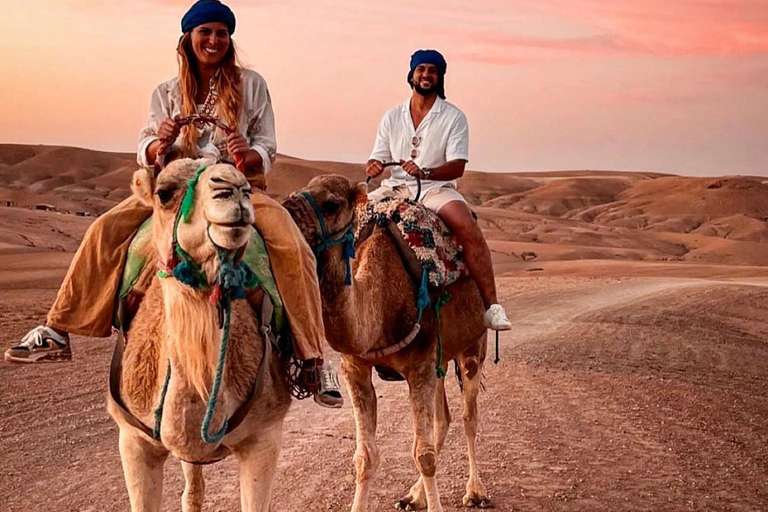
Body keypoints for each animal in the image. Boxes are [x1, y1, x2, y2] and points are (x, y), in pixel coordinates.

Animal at [106, 158, 290, 510]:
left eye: (247, 186)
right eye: (164, 193)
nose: (235, 188)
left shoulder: (265, 437)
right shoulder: (133, 441)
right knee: (192, 491)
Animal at [284, 176, 492, 512]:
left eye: (331, 204)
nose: (285, 214)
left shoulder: (419, 365)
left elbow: (424, 455)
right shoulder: (356, 367)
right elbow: (365, 457)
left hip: (473, 345)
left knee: (468, 417)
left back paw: (475, 492)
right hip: (439, 359)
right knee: (443, 420)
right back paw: (413, 496)